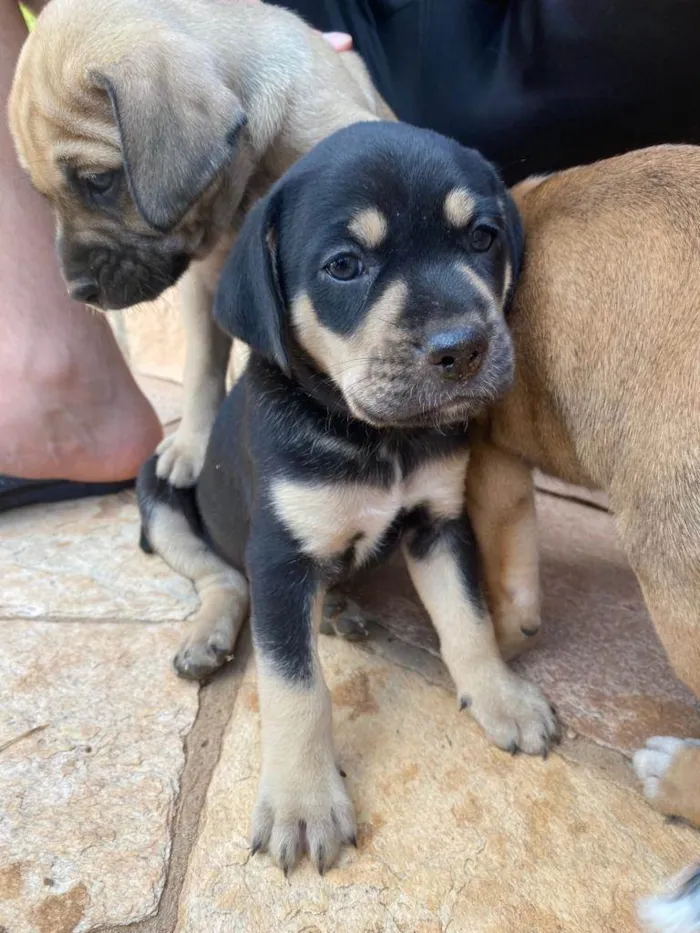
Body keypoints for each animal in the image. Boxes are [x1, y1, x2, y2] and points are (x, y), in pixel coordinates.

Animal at [9, 0, 394, 488]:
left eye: (99, 181)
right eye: (45, 199)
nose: (78, 292)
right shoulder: (204, 287)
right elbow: (201, 368)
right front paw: (193, 445)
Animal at [139, 124, 556, 872]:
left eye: (483, 237)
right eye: (344, 266)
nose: (463, 348)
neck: (376, 436)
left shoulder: (440, 523)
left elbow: (469, 621)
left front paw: (501, 697)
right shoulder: (279, 561)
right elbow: (295, 688)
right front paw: (303, 802)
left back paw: (338, 608)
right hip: (160, 488)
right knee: (220, 577)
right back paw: (209, 636)